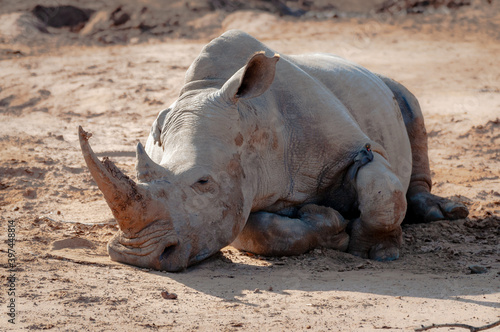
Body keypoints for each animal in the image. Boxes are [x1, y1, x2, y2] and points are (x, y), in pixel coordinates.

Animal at [77, 29, 464, 272]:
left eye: (204, 182)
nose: (138, 257)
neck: (253, 119)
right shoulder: (240, 192)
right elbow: (261, 231)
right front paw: (331, 226)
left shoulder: (361, 149)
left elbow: (379, 191)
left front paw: (376, 251)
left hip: (385, 82)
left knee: (409, 102)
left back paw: (441, 212)